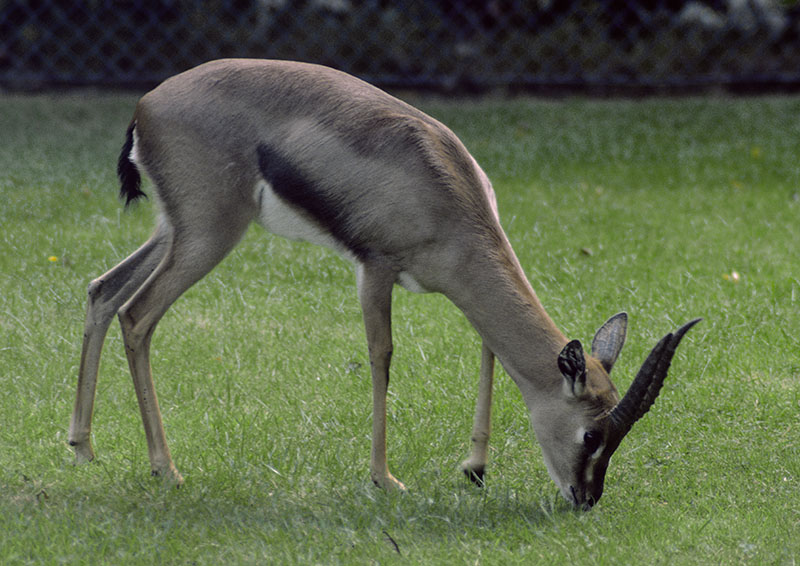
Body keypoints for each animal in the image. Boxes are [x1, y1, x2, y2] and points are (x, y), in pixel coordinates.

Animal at [69, 59, 699, 509]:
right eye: (592, 435)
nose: (586, 497)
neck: (446, 199)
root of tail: (147, 104)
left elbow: (488, 349)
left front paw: (474, 467)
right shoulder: (375, 269)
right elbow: (382, 355)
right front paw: (384, 478)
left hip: (174, 230)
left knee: (103, 290)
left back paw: (82, 447)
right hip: (209, 234)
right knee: (137, 315)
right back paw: (165, 468)